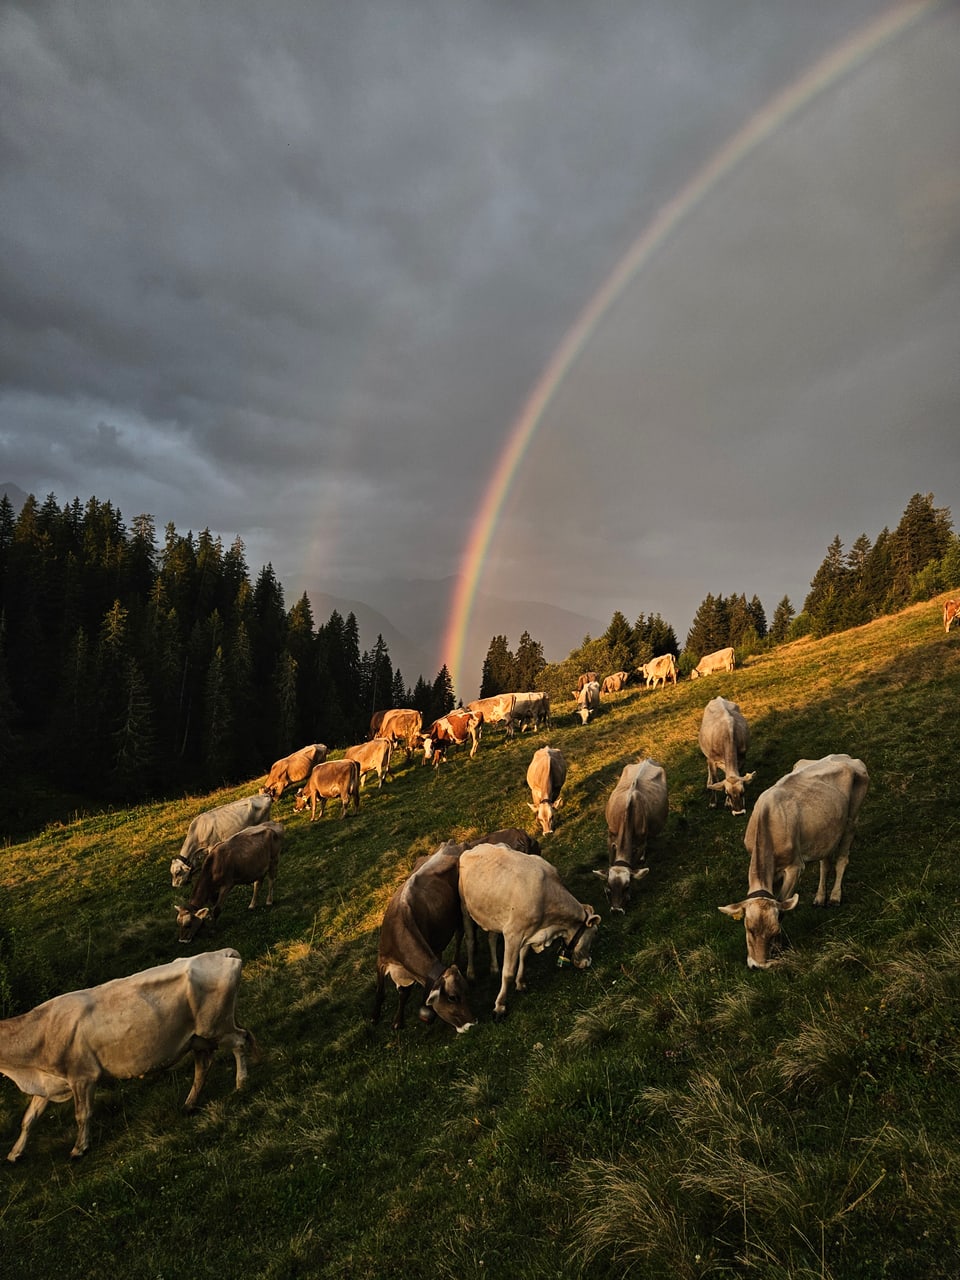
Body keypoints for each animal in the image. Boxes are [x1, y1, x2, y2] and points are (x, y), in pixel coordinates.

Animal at [378, 844, 478, 1034]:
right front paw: (386, 1019)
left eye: (467, 991)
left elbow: (404, 992)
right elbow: (384, 992)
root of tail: (453, 844)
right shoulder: (381, 959)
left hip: (459, 914)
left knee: (459, 935)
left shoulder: (434, 950)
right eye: (453, 997)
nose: (471, 1024)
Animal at [458, 849, 601, 1018]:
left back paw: (494, 968)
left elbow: (524, 956)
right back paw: (471, 974)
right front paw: (500, 1006)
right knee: (470, 940)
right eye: (594, 933)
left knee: (492, 938)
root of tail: (472, 849)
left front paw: (520, 983)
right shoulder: (513, 934)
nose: (588, 962)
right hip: (464, 908)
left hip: (493, 917)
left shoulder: (529, 932)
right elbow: (508, 972)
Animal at [593, 757, 670, 911]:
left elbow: (636, 862)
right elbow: (610, 860)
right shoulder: (610, 837)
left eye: (626, 887)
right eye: (609, 886)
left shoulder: (640, 843)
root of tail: (647, 760)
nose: (616, 910)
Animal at [721, 747, 870, 967]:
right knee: (825, 862)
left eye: (774, 931)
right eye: (749, 929)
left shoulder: (794, 867)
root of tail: (845, 757)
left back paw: (835, 896)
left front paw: (779, 946)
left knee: (842, 859)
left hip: (852, 819)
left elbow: (783, 905)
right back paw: (820, 897)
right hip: (826, 831)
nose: (758, 966)